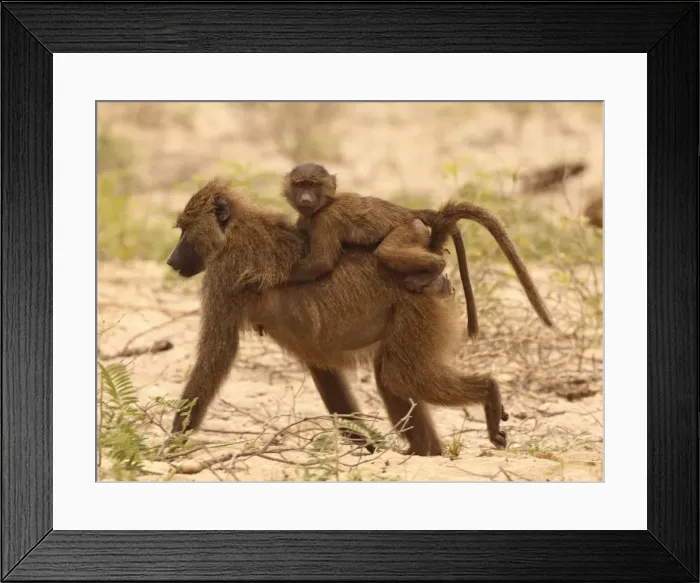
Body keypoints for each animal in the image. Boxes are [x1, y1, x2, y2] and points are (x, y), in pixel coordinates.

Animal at [165, 179, 517, 456]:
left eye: (184, 230)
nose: (170, 260)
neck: (233, 230)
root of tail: (429, 249)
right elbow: (325, 372)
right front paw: (370, 445)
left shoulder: (223, 274)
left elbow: (216, 354)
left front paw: (169, 448)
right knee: (390, 376)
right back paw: (425, 451)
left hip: (417, 306)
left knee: (399, 375)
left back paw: (488, 392)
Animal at [282, 162, 552, 334]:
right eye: (299, 185)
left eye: (313, 185)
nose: (305, 199)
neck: (324, 204)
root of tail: (411, 213)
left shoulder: (326, 220)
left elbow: (321, 263)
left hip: (410, 230)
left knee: (388, 252)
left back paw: (432, 270)